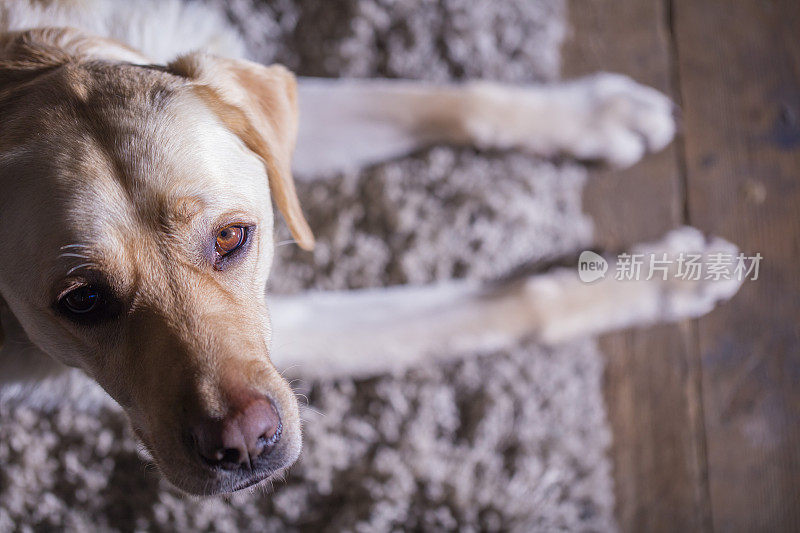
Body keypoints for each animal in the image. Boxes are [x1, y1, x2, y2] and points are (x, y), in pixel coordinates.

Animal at [0, 0, 744, 494]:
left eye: (232, 237)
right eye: (82, 300)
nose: (245, 446)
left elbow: (430, 97)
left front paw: (595, 112)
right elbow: (502, 306)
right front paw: (668, 276)